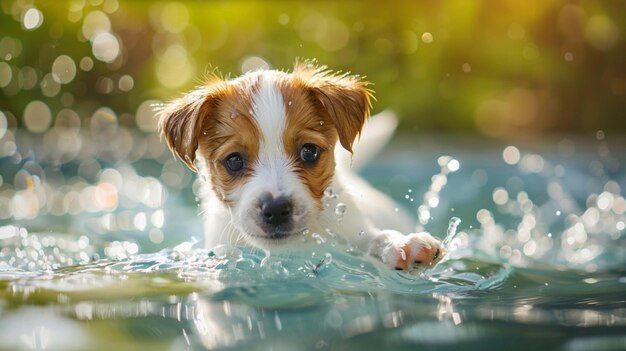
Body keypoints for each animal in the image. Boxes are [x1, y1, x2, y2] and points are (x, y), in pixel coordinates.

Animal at [161, 62, 444, 272]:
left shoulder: (352, 230)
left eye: (309, 152)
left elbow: (374, 238)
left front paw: (403, 245)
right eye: (234, 160)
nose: (276, 209)